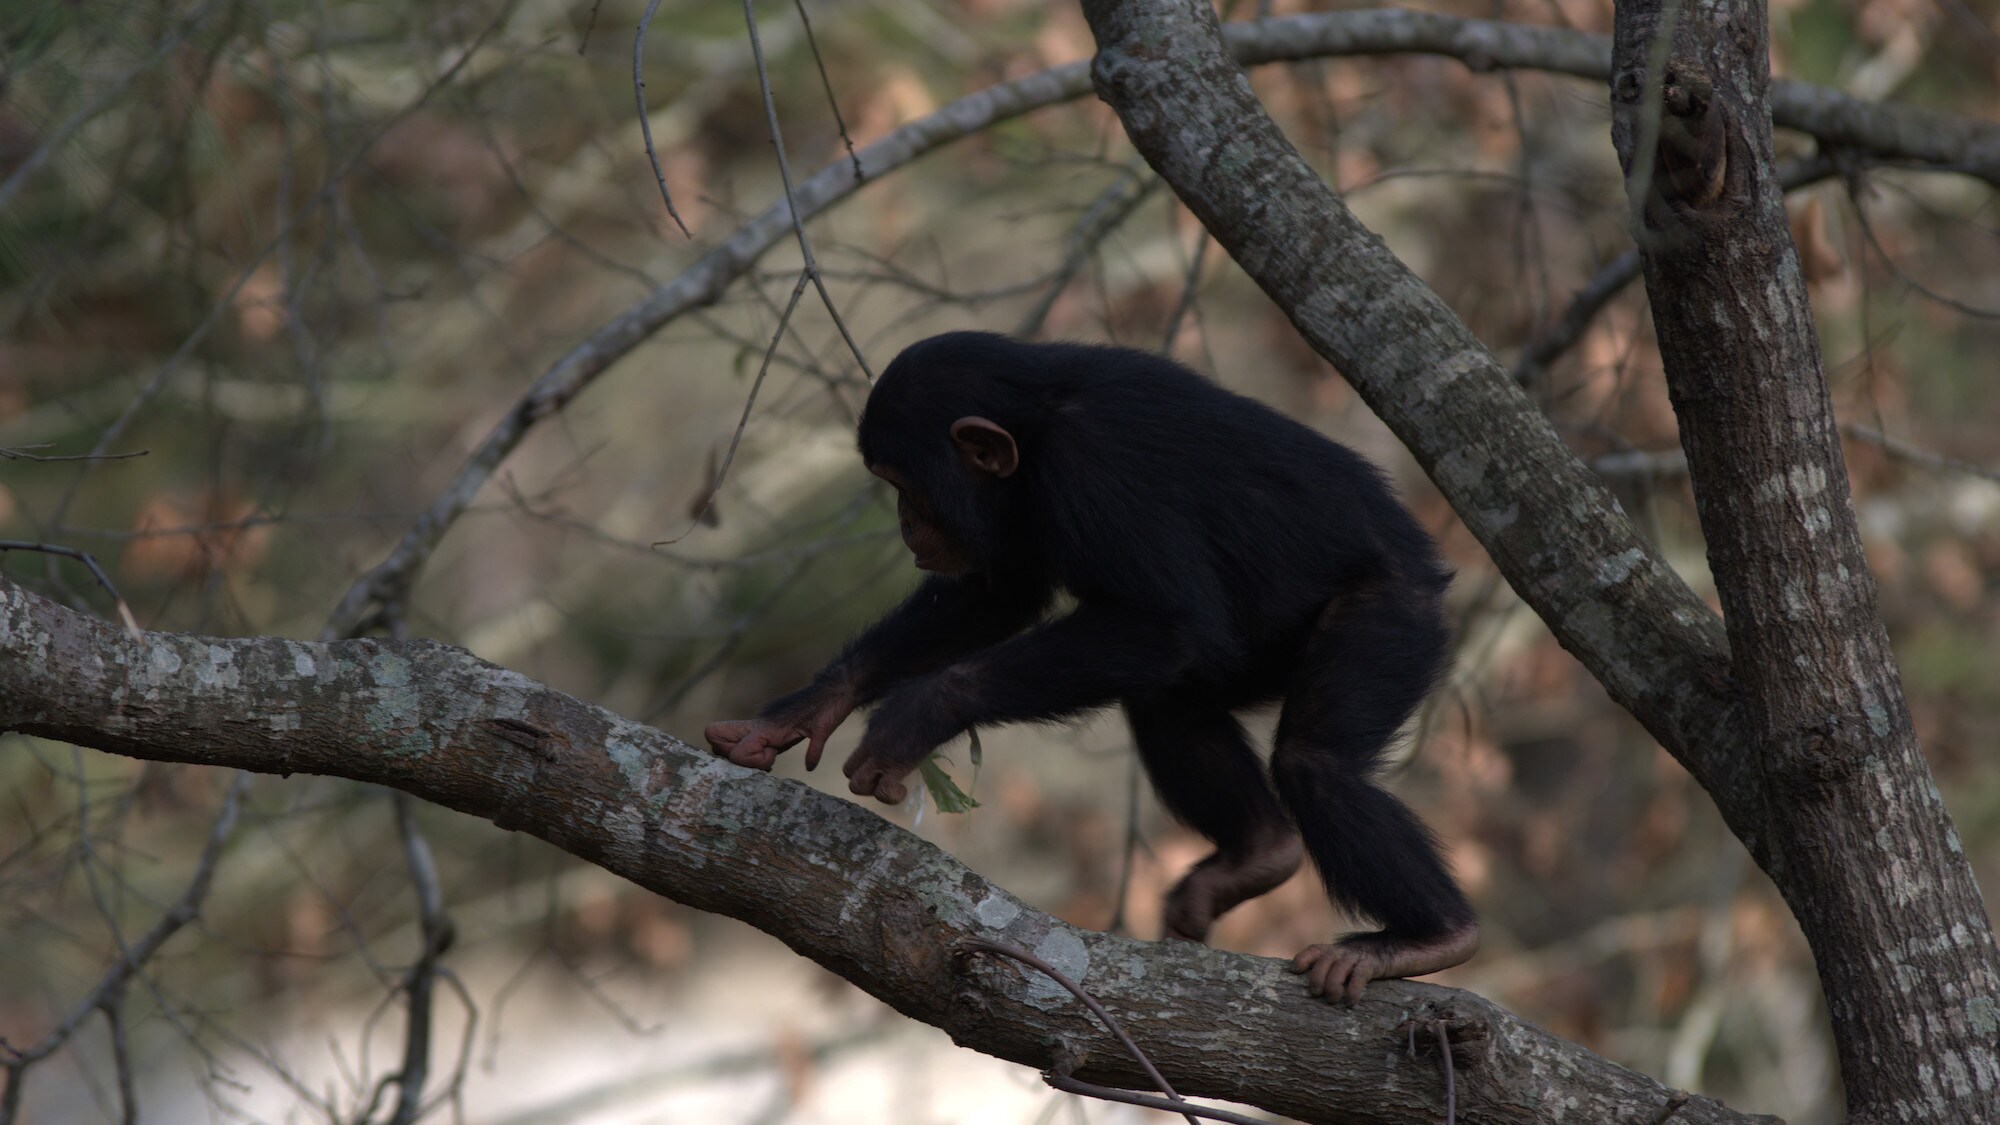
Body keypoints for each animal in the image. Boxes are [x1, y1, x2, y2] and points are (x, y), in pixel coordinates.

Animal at [700, 328, 1472, 992]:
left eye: (904, 485)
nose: (904, 521)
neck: (1037, 426)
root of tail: (1430, 561)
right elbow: (999, 594)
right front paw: (803, 710)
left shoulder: (1092, 464)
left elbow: (1164, 623)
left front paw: (916, 715)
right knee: (1168, 697)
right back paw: (1259, 854)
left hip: (1391, 614)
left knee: (1314, 761)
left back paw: (1429, 937)